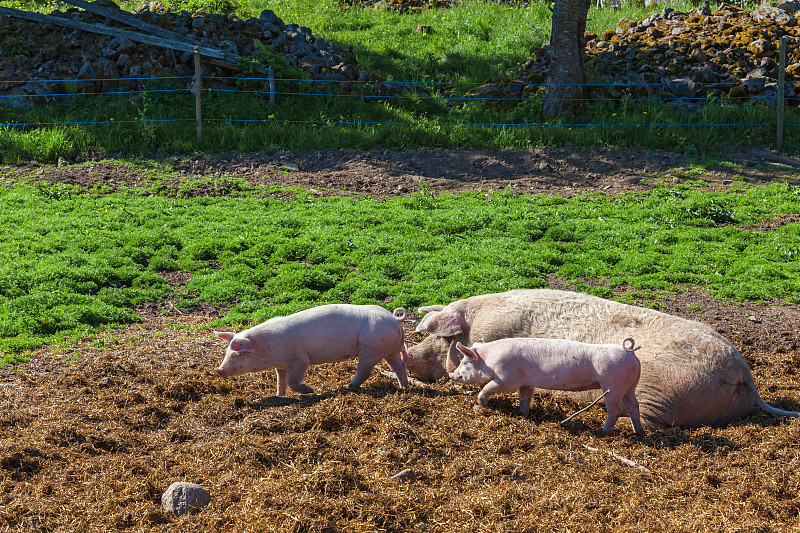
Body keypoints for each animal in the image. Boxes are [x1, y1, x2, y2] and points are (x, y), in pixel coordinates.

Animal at [214, 304, 410, 394]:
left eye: (239, 353)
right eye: (227, 352)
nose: (219, 370)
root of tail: (395, 319)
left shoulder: (300, 360)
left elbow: (292, 381)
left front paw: (310, 391)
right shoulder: (280, 365)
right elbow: (280, 380)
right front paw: (279, 395)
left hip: (372, 349)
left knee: (364, 371)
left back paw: (348, 387)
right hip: (391, 348)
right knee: (400, 366)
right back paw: (404, 388)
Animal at [450, 338, 644, 434]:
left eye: (465, 362)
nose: (452, 375)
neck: (490, 359)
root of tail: (628, 352)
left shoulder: (507, 379)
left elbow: (487, 388)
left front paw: (478, 406)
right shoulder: (526, 383)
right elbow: (524, 398)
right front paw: (523, 415)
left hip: (613, 385)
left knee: (616, 410)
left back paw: (603, 431)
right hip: (630, 386)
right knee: (634, 406)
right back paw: (638, 433)